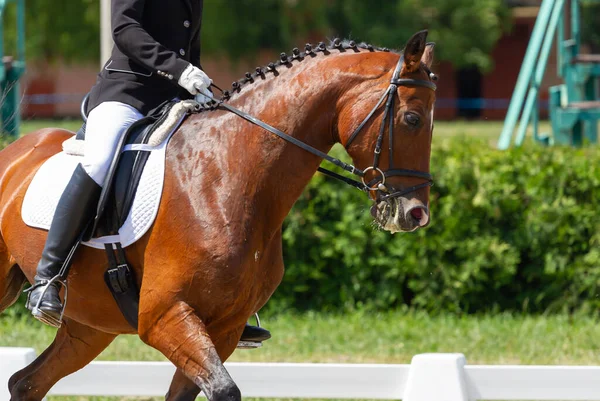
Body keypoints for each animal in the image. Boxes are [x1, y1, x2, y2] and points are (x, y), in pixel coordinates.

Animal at [0, 29, 434, 398]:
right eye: (412, 120)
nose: (416, 214)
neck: (228, 173)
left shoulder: (224, 328)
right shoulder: (164, 316)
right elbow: (224, 390)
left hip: (89, 326)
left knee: (26, 383)